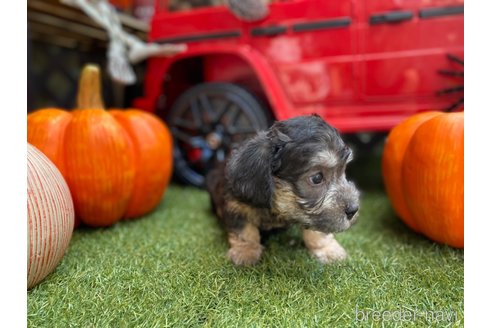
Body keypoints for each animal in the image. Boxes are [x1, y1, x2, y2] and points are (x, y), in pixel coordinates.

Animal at [206, 114, 360, 266]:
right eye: (317, 178)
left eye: (343, 171)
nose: (353, 210)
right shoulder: (235, 204)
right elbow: (244, 228)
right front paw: (246, 251)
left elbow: (317, 230)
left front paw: (327, 248)